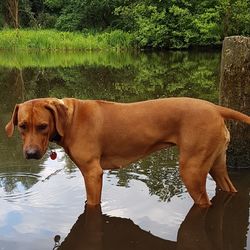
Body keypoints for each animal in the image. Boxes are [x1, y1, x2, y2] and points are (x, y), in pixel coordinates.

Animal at [4, 97, 250, 207]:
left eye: (43, 126)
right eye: (22, 126)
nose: (31, 153)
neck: (70, 119)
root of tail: (215, 107)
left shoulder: (93, 173)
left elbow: (91, 203)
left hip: (192, 170)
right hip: (216, 164)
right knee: (228, 186)